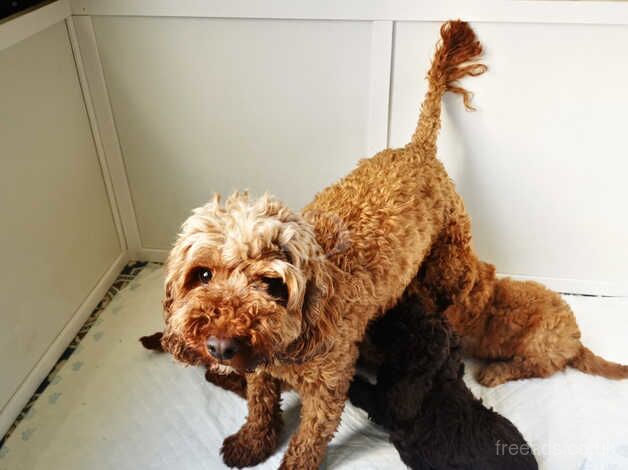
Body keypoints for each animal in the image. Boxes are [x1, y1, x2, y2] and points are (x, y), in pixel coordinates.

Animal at [159, 20, 488, 468]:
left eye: (272, 284)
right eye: (202, 275)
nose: (221, 346)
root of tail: (417, 149)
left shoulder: (329, 384)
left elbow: (309, 437)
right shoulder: (261, 370)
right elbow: (260, 405)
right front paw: (252, 440)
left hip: (448, 258)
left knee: (466, 283)